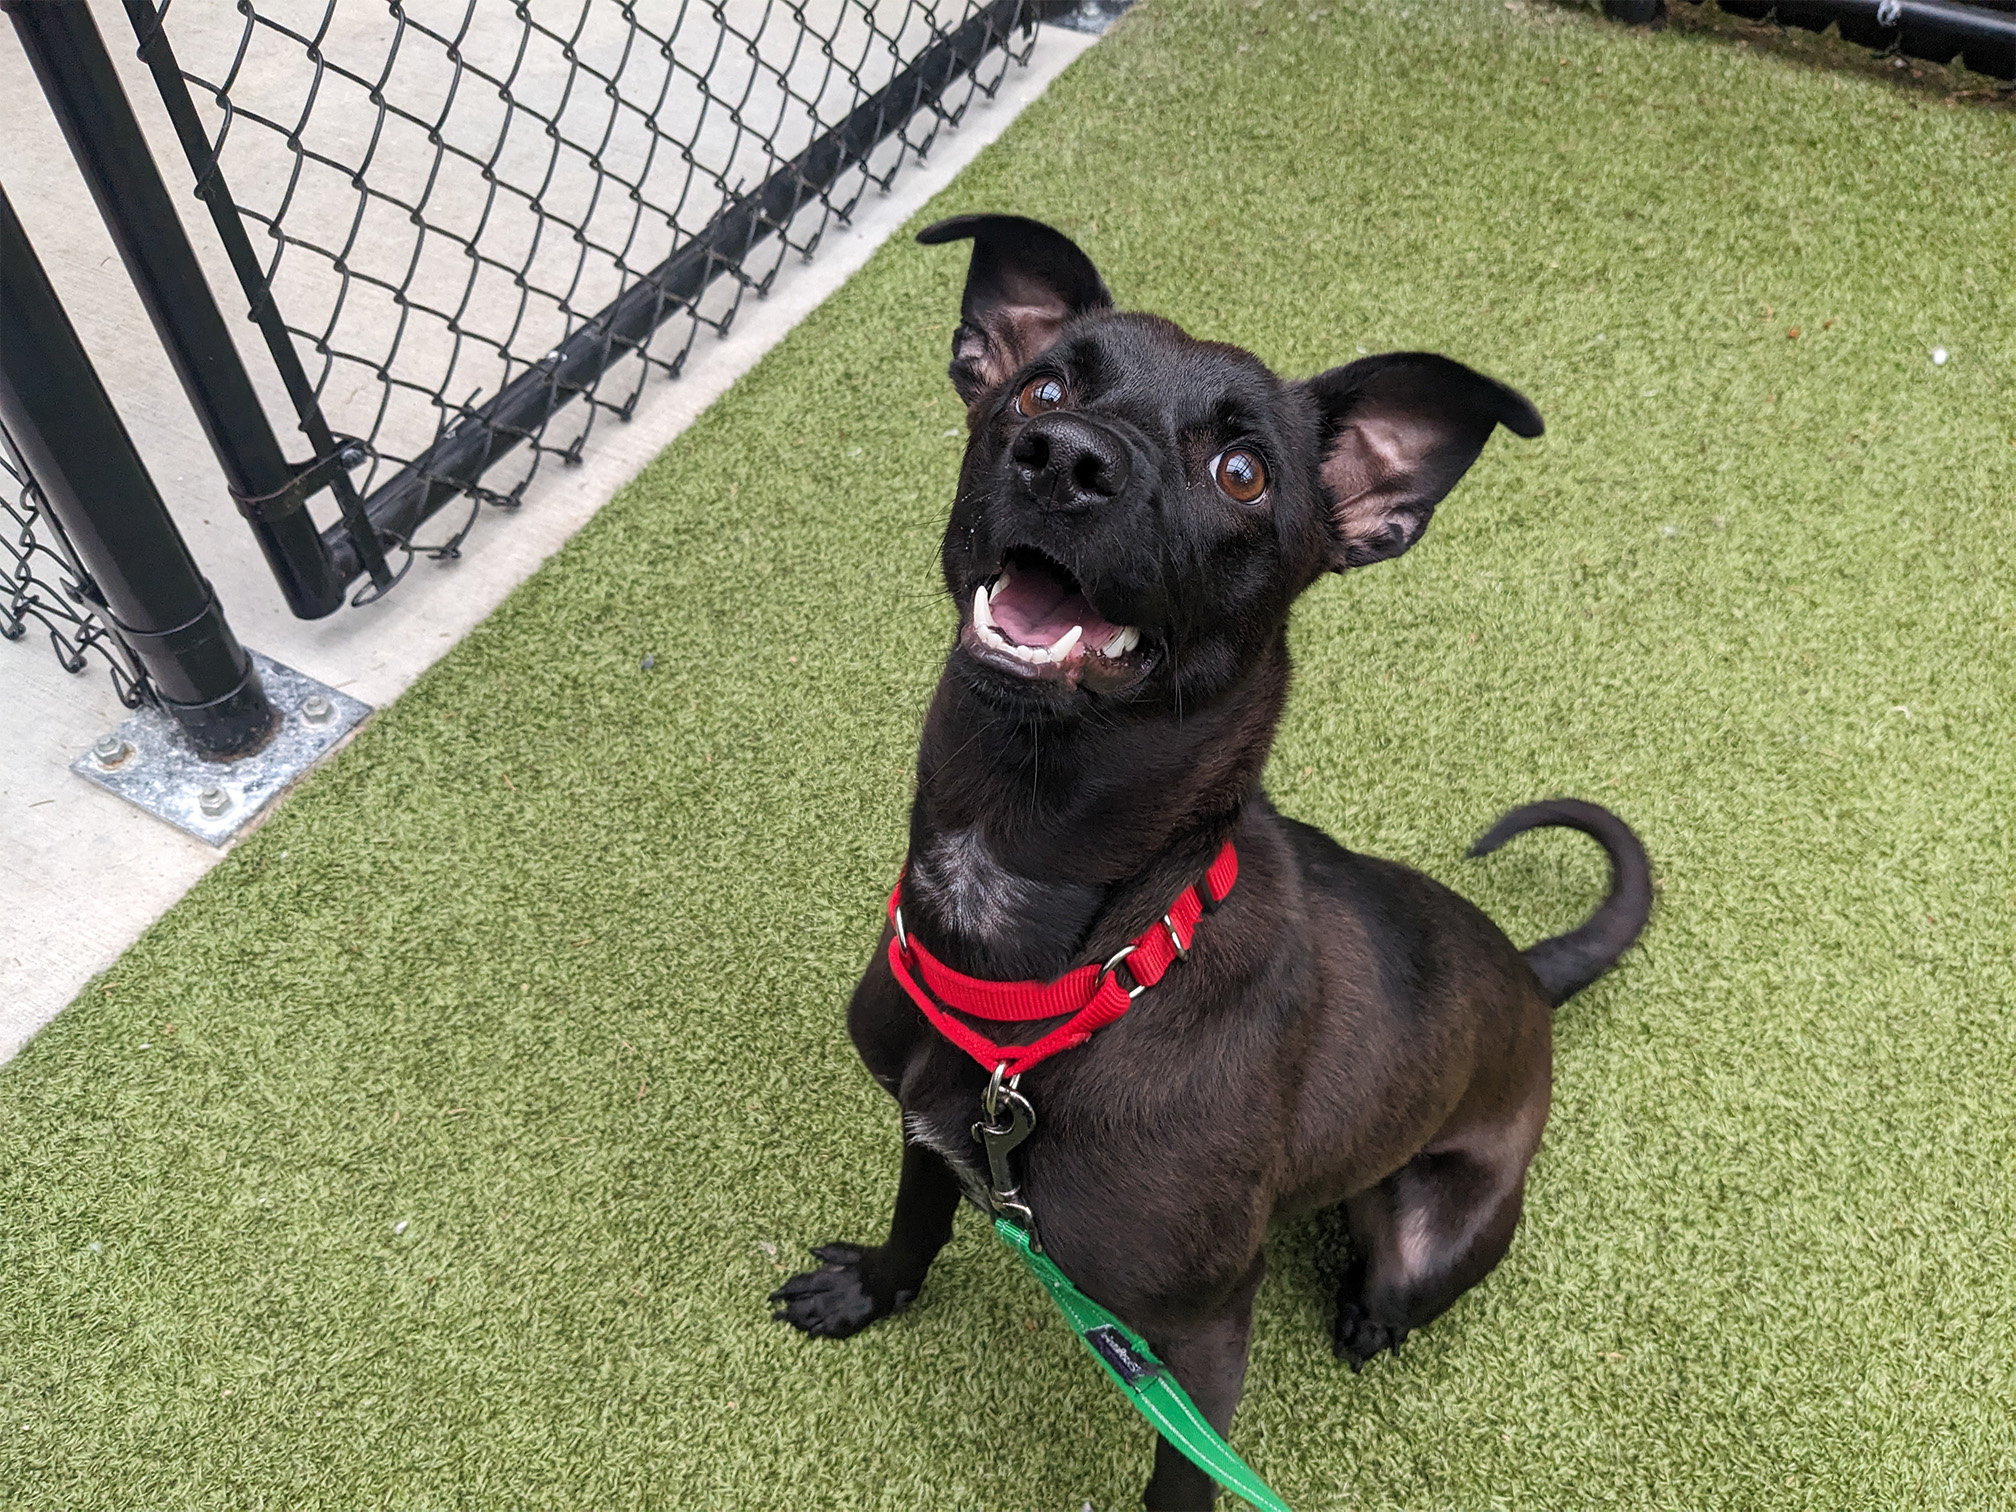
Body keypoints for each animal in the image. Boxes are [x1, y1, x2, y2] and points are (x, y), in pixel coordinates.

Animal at [774, 215, 1653, 1512]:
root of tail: (1528, 977)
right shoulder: (928, 1131)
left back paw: (1365, 1309)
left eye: (1243, 473)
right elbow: (918, 1222)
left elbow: (1179, 1481)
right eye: (1044, 386)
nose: (1063, 459)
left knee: (1396, 1282)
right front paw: (870, 1290)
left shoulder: (1195, 1351)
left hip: (1432, 1237)